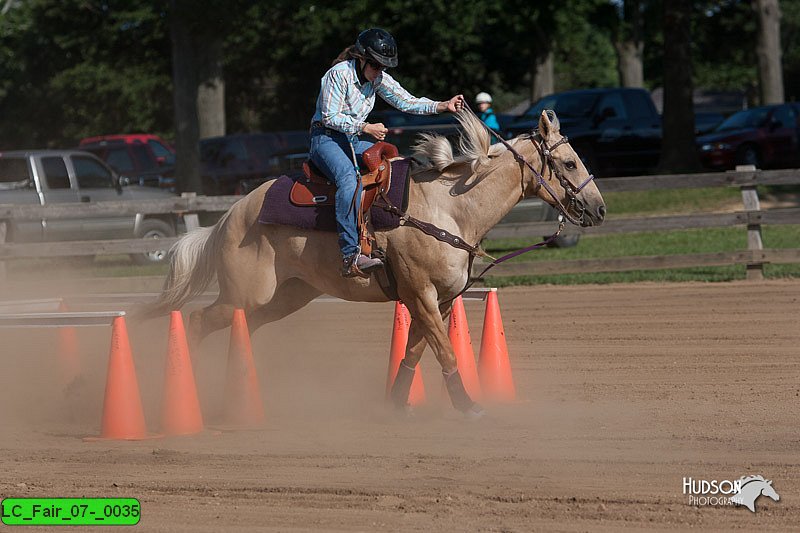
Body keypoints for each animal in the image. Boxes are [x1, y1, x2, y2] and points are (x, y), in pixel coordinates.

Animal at [142, 109, 608, 416]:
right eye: (569, 162)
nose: (599, 209)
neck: (449, 210)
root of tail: (229, 216)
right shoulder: (420, 294)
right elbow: (445, 352)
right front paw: (467, 406)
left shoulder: (439, 300)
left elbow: (416, 351)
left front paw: (396, 401)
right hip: (244, 293)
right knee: (198, 321)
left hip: (283, 298)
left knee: (246, 328)